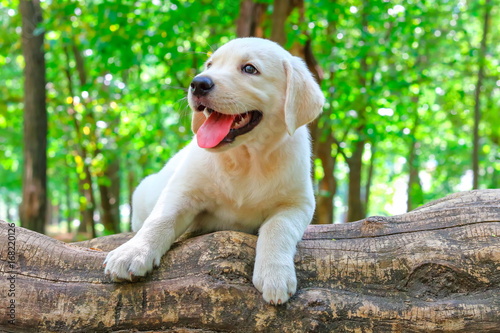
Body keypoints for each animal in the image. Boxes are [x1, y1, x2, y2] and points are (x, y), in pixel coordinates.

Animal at [105, 37, 324, 304]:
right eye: (209, 65)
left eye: (249, 69)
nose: (198, 83)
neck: (247, 159)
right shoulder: (182, 191)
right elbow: (161, 219)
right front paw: (132, 252)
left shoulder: (298, 204)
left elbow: (278, 228)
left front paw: (275, 274)